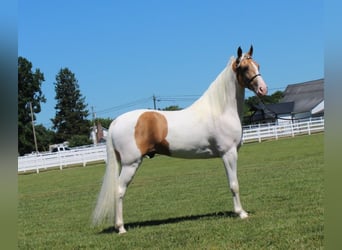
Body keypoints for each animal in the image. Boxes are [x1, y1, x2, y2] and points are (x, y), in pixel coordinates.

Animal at [93, 46, 268, 233]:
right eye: (244, 67)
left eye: (258, 65)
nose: (263, 89)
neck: (220, 110)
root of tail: (115, 122)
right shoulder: (229, 154)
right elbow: (234, 184)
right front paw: (241, 213)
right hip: (130, 164)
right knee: (119, 191)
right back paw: (121, 228)